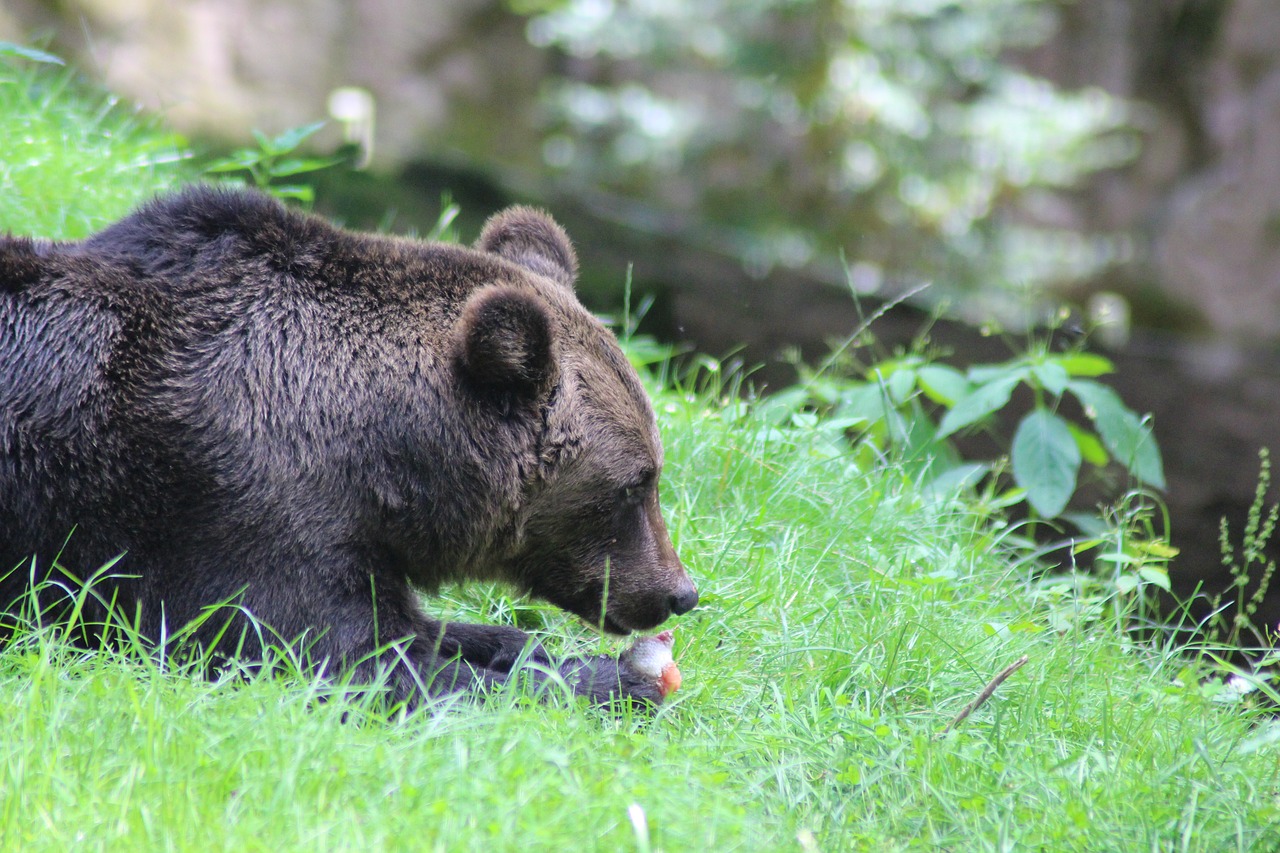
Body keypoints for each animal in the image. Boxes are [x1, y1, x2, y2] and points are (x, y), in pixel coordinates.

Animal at [0, 184, 701, 701]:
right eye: (636, 483)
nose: (680, 593)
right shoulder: (233, 508)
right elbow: (346, 657)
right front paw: (611, 678)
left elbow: (416, 628)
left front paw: (519, 644)